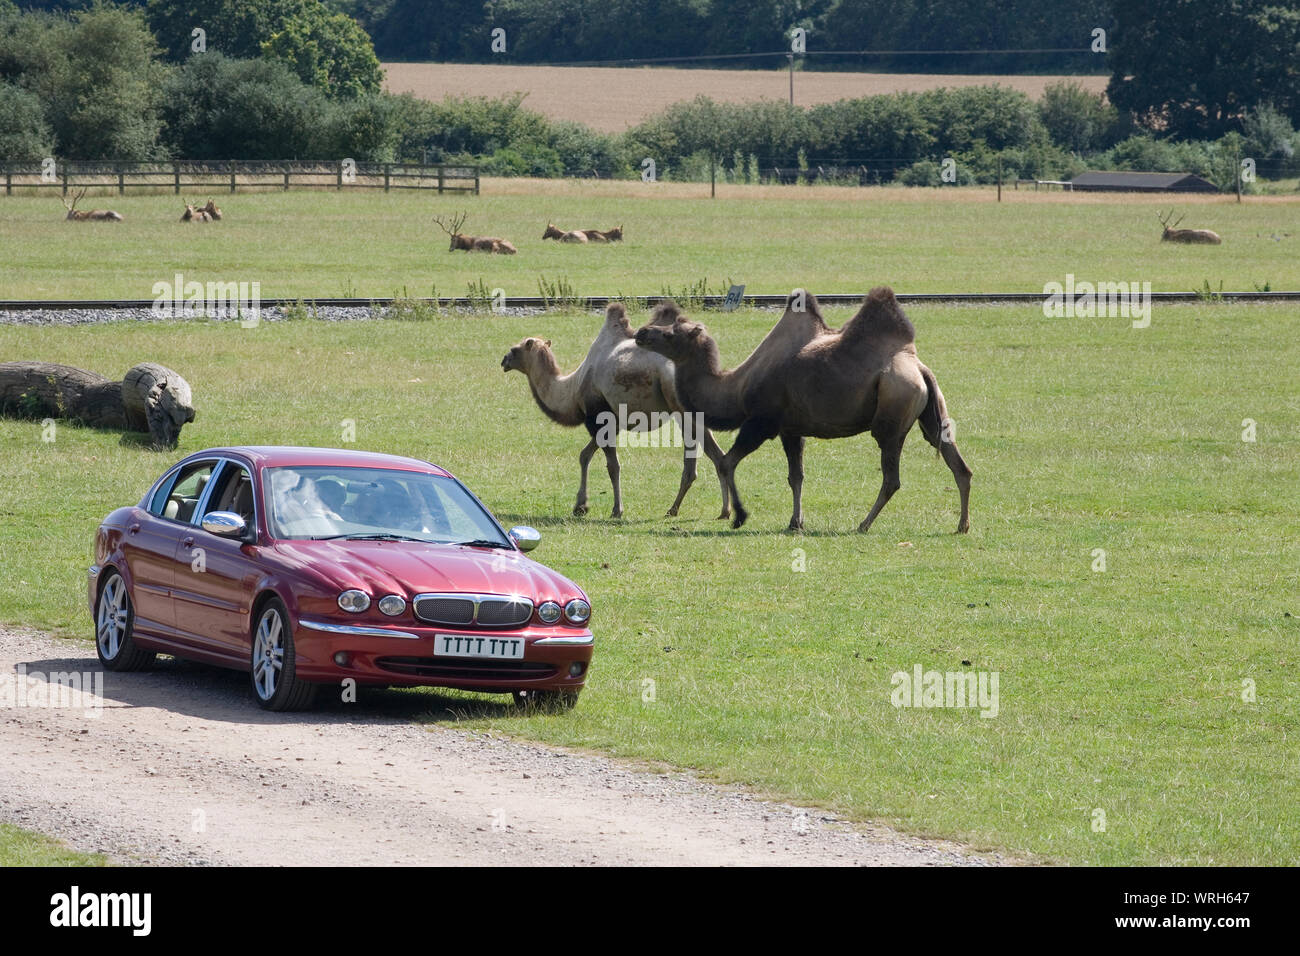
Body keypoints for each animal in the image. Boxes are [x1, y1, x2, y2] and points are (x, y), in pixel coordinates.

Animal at [501, 303, 733, 520]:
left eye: (515, 349)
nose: (503, 360)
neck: (573, 388)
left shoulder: (597, 417)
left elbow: (612, 466)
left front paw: (616, 509)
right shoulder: (614, 422)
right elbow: (584, 455)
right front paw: (580, 506)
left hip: (680, 410)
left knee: (692, 462)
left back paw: (675, 509)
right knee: (717, 455)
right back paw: (721, 511)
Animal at [634, 287, 972, 535]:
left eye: (670, 333)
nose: (641, 332)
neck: (737, 386)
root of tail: (919, 368)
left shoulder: (762, 421)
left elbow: (727, 463)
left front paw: (740, 516)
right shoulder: (791, 429)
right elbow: (796, 476)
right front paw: (795, 522)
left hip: (893, 410)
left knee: (892, 477)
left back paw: (863, 524)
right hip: (933, 413)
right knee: (958, 463)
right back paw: (962, 525)